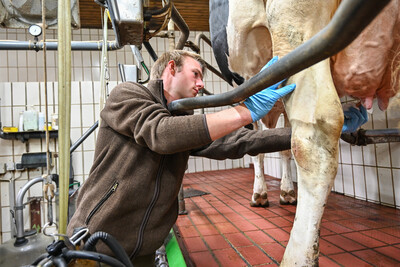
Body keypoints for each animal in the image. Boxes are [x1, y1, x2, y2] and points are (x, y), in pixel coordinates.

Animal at [208, 0, 398, 266]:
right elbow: (280, 147)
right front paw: (286, 191)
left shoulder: (246, 87)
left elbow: (259, 152)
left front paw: (259, 194)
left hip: (294, 30)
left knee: (315, 133)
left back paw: (297, 256)